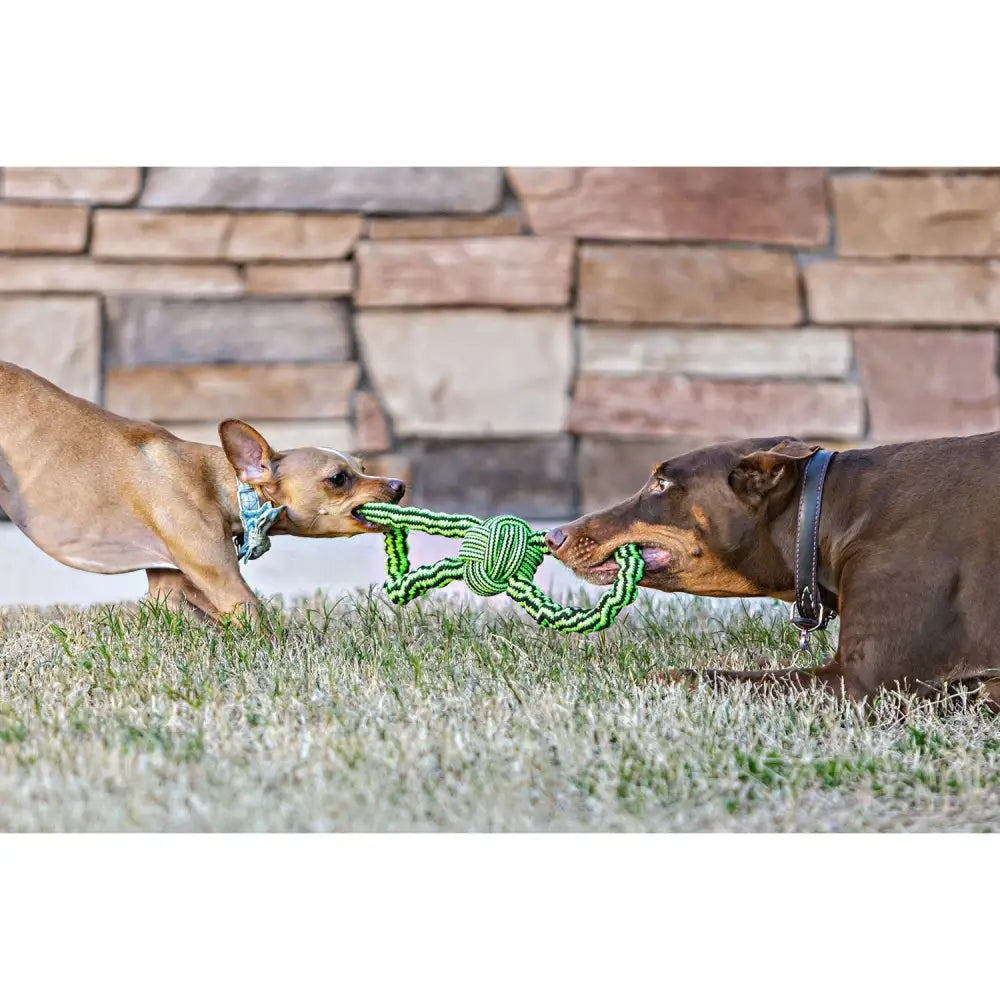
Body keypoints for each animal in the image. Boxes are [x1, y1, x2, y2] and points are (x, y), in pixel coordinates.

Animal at [0, 364, 406, 620]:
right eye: (338, 478)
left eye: (362, 466)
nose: (399, 486)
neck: (218, 483)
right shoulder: (224, 582)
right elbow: (258, 619)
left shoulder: (169, 589)